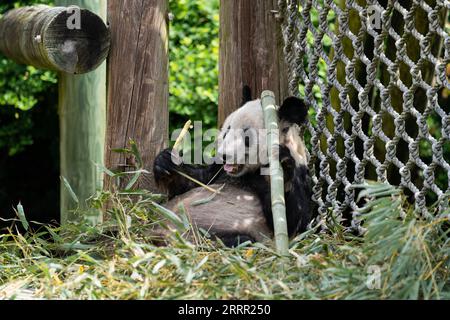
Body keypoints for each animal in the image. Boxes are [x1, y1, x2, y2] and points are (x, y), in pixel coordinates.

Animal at [153, 92, 312, 248]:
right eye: (226, 132)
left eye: (247, 137)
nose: (224, 155)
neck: (248, 173)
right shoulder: (219, 170)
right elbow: (196, 182)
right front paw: (166, 161)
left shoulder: (301, 173)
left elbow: (294, 222)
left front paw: (283, 167)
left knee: (239, 240)